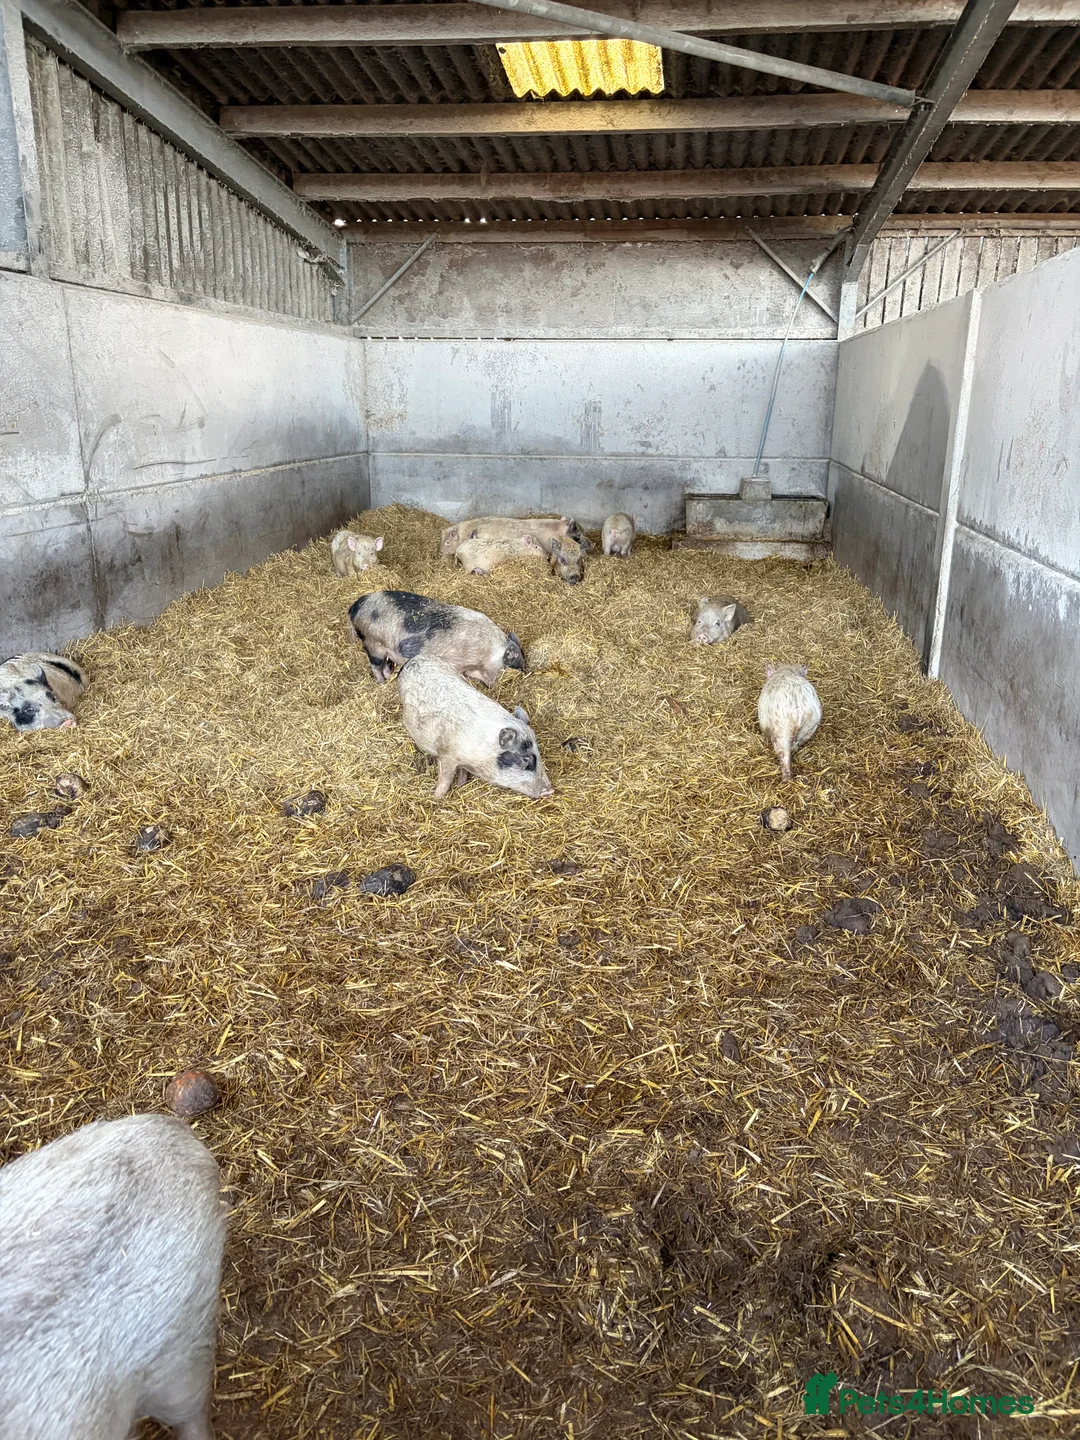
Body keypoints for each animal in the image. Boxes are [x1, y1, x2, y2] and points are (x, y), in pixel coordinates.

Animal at [349, 589, 526, 686]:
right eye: (515, 665)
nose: (525, 672)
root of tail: (357, 606)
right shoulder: (455, 662)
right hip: (373, 644)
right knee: (375, 665)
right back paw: (382, 683)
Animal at [398, 655, 553, 801]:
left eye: (538, 753)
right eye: (526, 759)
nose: (550, 790)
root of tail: (413, 659)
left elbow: (462, 773)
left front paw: (460, 785)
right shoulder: (447, 755)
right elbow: (445, 780)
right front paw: (436, 798)